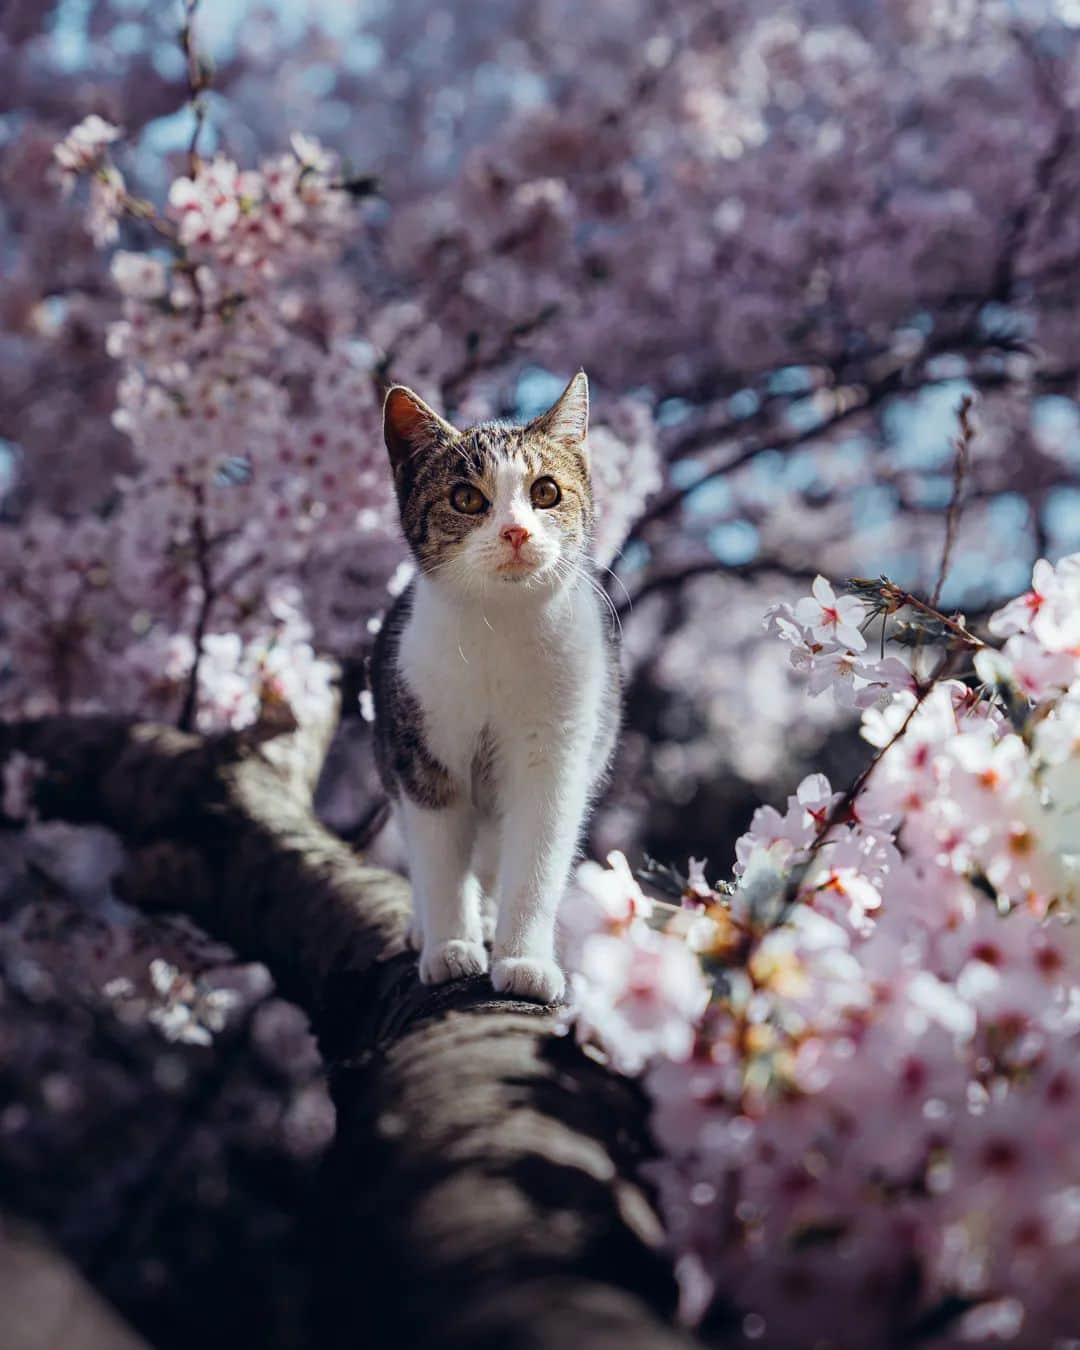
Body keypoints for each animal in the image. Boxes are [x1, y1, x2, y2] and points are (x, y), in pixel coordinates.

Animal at [372, 369, 621, 1004]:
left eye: (546, 493)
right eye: (466, 499)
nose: (514, 531)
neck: (500, 627)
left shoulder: (558, 748)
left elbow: (537, 853)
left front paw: (524, 960)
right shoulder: (420, 742)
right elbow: (438, 855)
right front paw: (449, 946)